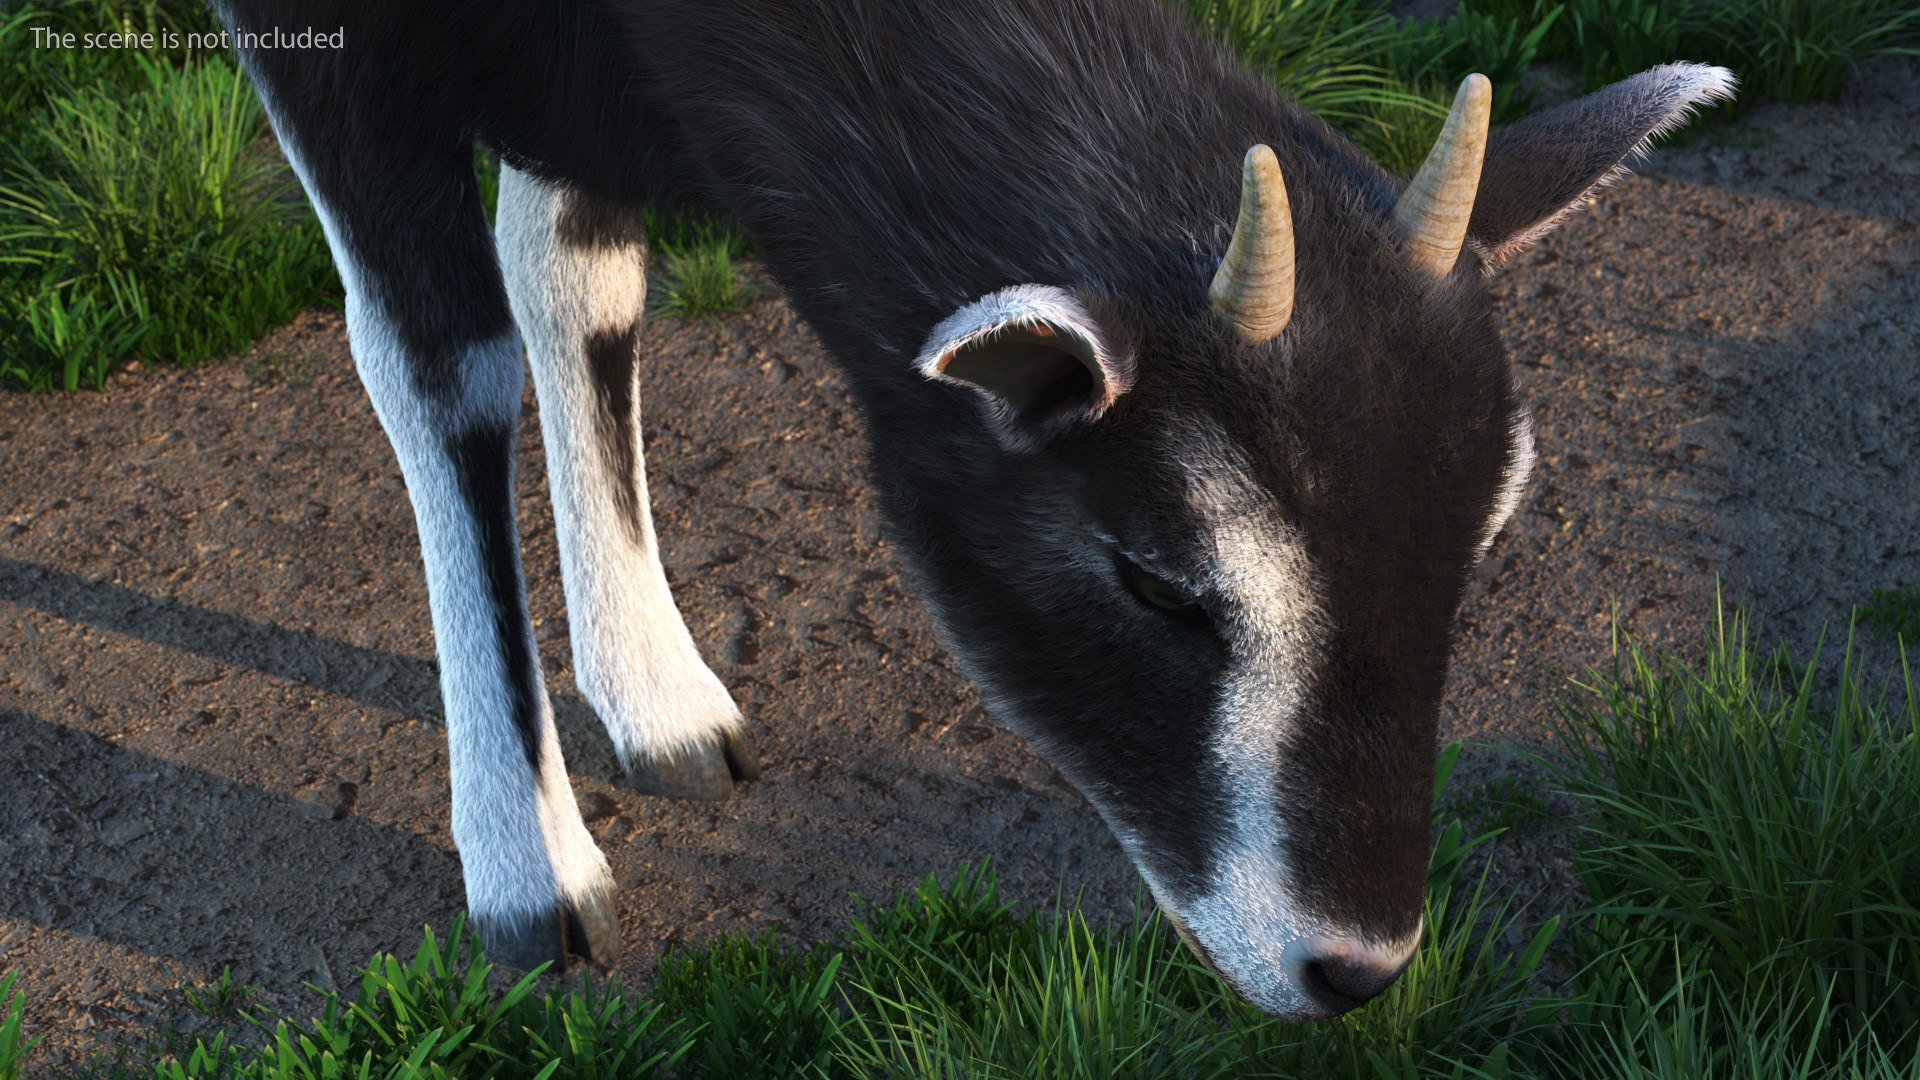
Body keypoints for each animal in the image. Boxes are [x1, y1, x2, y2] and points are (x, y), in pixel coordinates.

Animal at [214, 0, 1732, 1019]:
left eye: (1479, 545)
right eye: (1159, 579)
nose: (1355, 965)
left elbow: (578, 275)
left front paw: (658, 701)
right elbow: (437, 358)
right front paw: (533, 874)